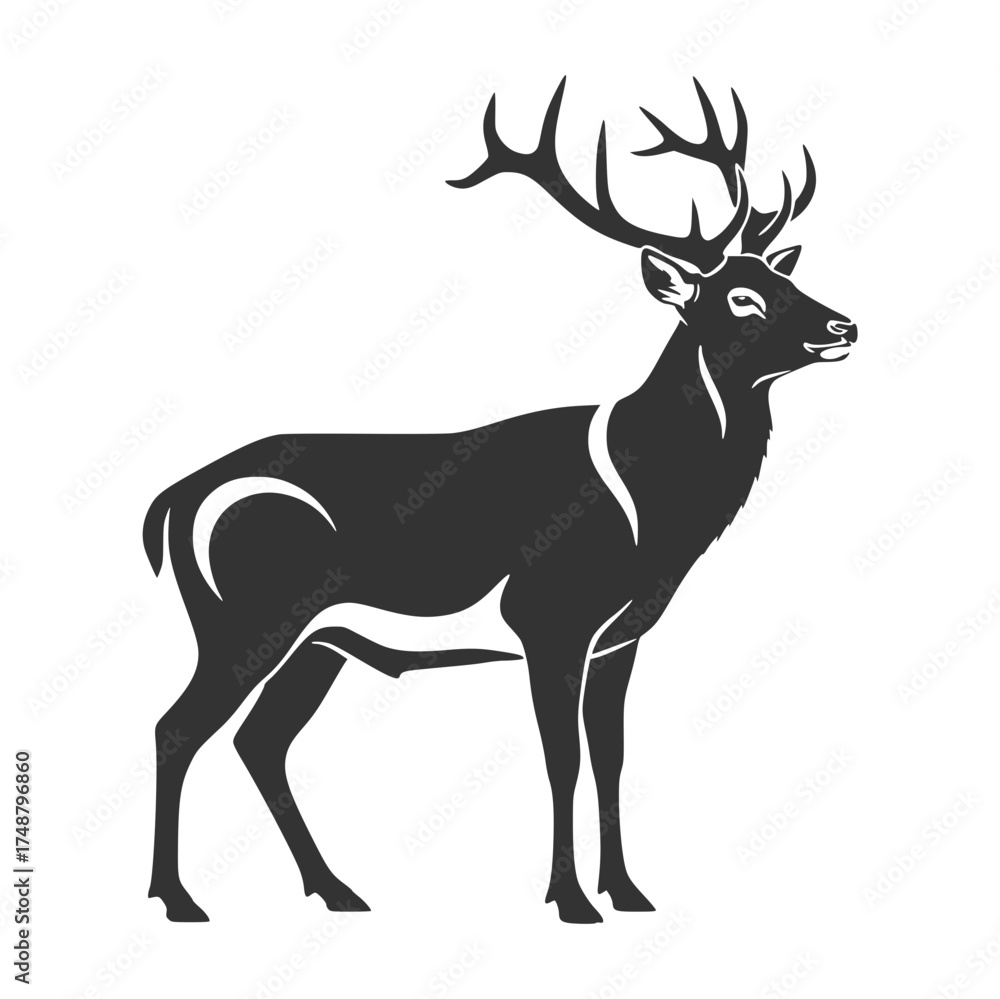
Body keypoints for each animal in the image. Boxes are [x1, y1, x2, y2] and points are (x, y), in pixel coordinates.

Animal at [144, 77, 857, 925]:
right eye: (743, 297)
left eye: (788, 279)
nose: (843, 324)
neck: (648, 513)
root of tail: (173, 499)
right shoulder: (549, 617)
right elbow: (563, 759)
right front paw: (570, 899)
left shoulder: (619, 637)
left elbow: (611, 757)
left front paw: (629, 891)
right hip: (244, 615)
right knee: (178, 726)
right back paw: (178, 897)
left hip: (317, 639)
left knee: (259, 739)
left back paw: (338, 889)